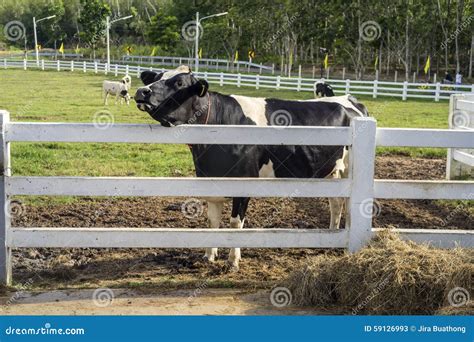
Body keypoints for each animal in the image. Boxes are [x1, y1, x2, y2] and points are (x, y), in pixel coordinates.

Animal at [134, 65, 370, 272]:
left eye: (179, 83)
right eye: (157, 76)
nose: (141, 91)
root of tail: (349, 99)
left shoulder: (243, 183)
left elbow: (235, 223)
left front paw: (233, 261)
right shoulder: (210, 180)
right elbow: (212, 221)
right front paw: (209, 256)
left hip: (348, 168)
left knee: (345, 205)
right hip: (331, 171)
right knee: (336, 203)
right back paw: (331, 237)